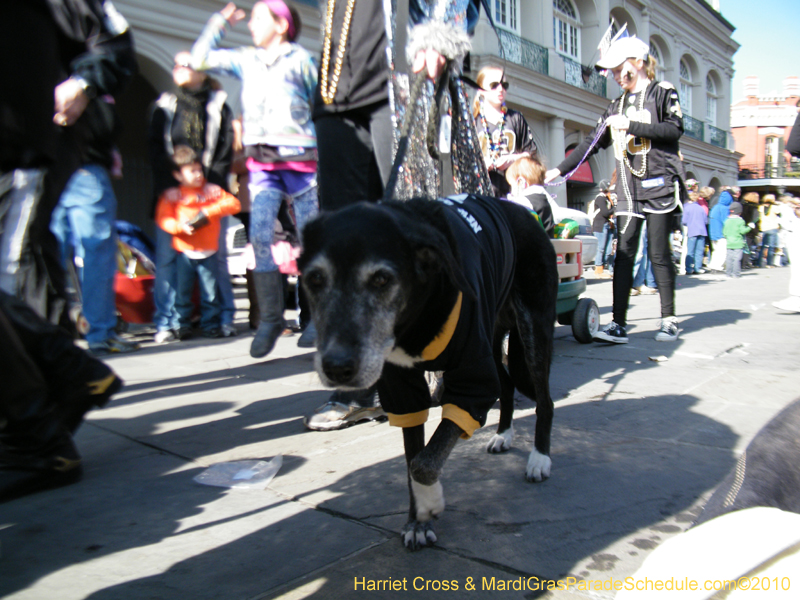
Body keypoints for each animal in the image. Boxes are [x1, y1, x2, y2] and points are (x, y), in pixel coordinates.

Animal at [298, 196, 556, 548]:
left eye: (381, 279)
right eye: (314, 279)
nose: (337, 368)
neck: (413, 324)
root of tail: (523, 210)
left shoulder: (471, 380)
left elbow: (423, 462)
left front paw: (430, 502)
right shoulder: (403, 389)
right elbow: (412, 459)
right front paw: (417, 520)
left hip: (532, 329)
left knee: (544, 399)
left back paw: (539, 458)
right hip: (490, 336)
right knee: (504, 385)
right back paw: (503, 435)